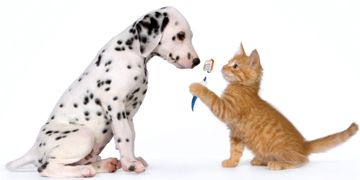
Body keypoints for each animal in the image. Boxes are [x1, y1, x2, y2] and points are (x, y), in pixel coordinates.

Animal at [5, 6, 201, 177]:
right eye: (180, 35)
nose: (197, 61)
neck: (132, 52)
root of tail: (34, 149)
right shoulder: (115, 105)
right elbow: (125, 137)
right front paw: (130, 164)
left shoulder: (128, 113)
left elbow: (131, 136)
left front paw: (131, 159)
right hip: (84, 135)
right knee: (47, 167)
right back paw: (84, 171)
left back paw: (105, 164)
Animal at [190, 43, 358, 170]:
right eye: (228, 61)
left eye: (235, 66)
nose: (223, 67)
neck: (243, 88)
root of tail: (304, 144)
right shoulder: (236, 134)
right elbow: (235, 151)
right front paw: (231, 162)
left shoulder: (225, 109)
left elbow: (210, 95)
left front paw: (196, 86)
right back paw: (259, 160)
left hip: (285, 153)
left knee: (302, 161)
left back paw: (277, 163)